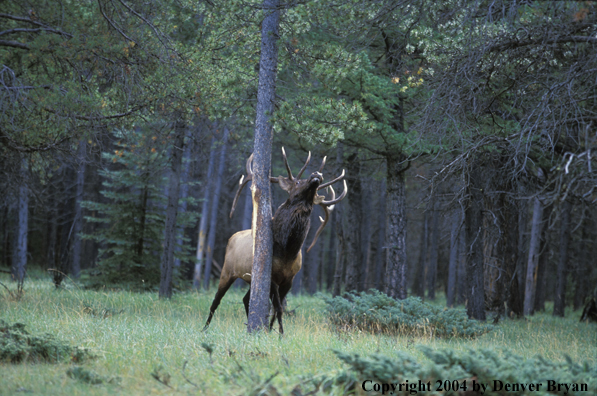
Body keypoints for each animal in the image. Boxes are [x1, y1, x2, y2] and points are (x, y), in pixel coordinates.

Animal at [203, 148, 346, 334]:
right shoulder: (272, 277)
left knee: (245, 299)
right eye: (297, 182)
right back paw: (204, 328)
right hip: (227, 271)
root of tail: (231, 237)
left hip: (250, 279)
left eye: (315, 192)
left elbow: (278, 309)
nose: (317, 174)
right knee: (216, 300)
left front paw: (272, 331)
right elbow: (277, 307)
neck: (287, 251)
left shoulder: (289, 280)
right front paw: (281, 334)